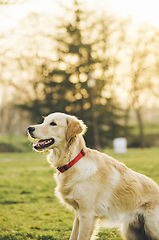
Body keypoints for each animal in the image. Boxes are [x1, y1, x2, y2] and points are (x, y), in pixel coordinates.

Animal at [28, 112, 159, 240]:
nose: (29, 128)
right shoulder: (79, 213)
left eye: (53, 123)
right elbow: (73, 236)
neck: (73, 162)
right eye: (44, 121)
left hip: (151, 225)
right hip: (130, 231)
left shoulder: (87, 214)